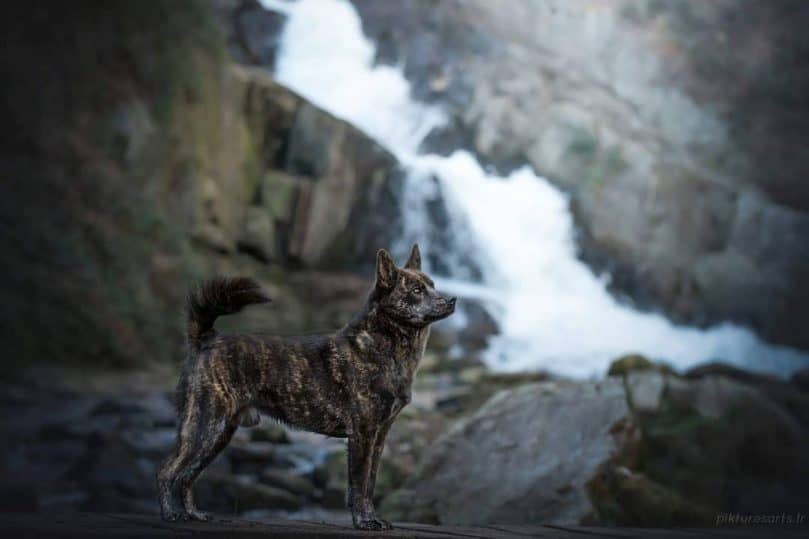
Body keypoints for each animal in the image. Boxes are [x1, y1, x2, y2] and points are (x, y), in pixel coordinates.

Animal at [155, 245, 452, 532]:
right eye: (416, 290)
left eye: (432, 284)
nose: (451, 301)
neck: (382, 344)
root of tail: (207, 338)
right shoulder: (362, 434)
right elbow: (358, 485)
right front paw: (364, 522)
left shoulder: (379, 435)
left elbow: (370, 483)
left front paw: (372, 518)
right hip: (205, 427)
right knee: (168, 471)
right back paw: (171, 514)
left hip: (219, 434)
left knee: (188, 477)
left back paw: (194, 514)